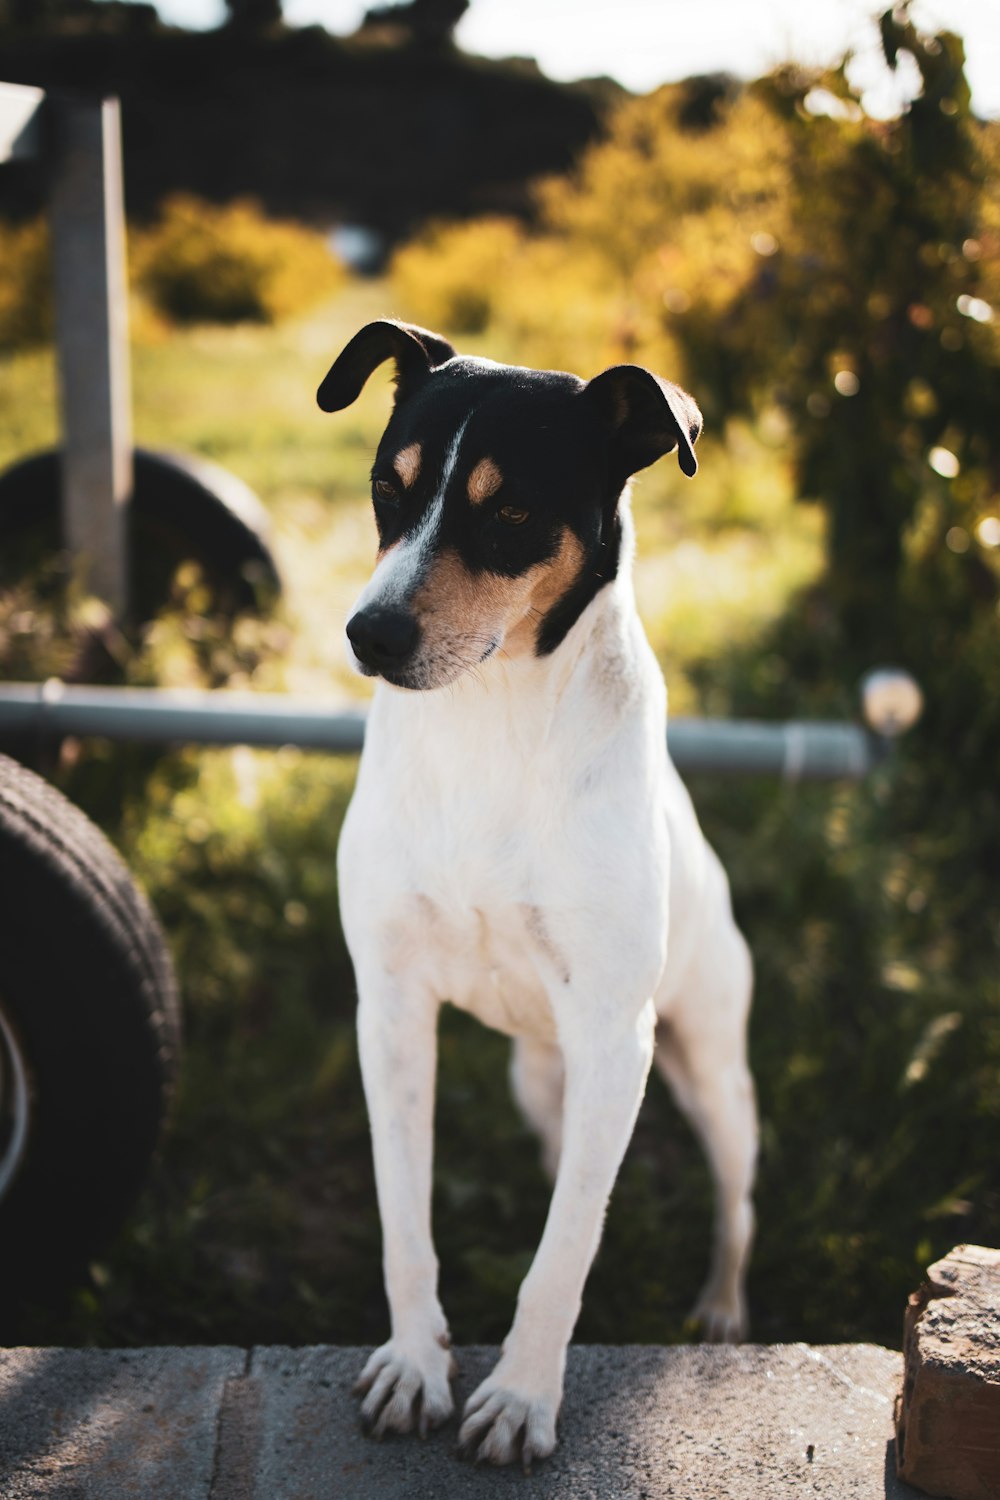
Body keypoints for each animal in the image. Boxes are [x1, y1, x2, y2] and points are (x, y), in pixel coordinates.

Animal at [316, 325, 755, 1464]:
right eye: (386, 488)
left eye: (511, 512)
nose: (368, 635)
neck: (492, 715)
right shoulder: (390, 1009)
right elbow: (407, 1218)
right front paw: (416, 1363)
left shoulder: (613, 1033)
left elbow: (563, 1259)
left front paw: (519, 1396)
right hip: (543, 1076)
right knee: (572, 1170)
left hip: (711, 1073)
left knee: (733, 1200)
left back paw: (723, 1307)